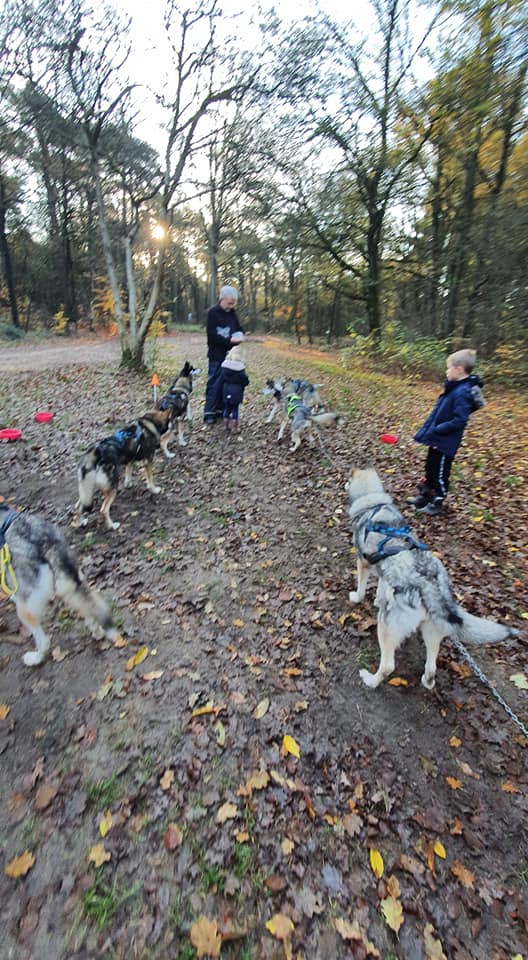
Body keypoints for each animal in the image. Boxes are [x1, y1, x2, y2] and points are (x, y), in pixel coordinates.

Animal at [0, 506, 118, 664]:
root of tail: (48, 543)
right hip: (75, 582)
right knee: (89, 606)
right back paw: (97, 631)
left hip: (25, 610)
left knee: (44, 642)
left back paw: (35, 658)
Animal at [346, 466, 516, 688]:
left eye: (348, 480)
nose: (344, 483)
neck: (373, 502)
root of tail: (431, 585)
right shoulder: (383, 569)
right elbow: (381, 587)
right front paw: (378, 599)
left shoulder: (363, 562)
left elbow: (361, 587)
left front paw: (357, 598)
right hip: (432, 630)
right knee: (431, 666)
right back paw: (427, 682)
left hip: (386, 627)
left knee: (388, 666)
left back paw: (370, 680)